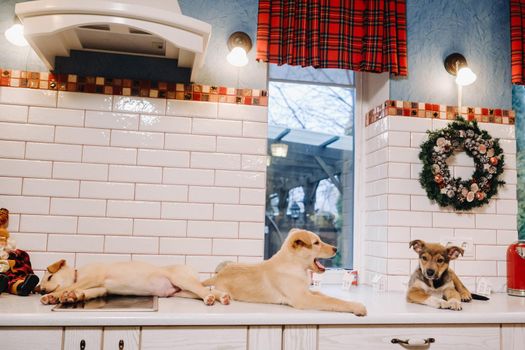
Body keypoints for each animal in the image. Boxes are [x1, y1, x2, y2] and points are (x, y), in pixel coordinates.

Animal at [203, 228, 366, 316]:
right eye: (316, 243)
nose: (336, 249)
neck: (295, 266)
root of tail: (218, 275)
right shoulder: (303, 299)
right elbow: (332, 301)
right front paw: (358, 307)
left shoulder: (307, 292)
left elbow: (325, 295)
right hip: (221, 289)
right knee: (213, 292)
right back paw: (219, 297)